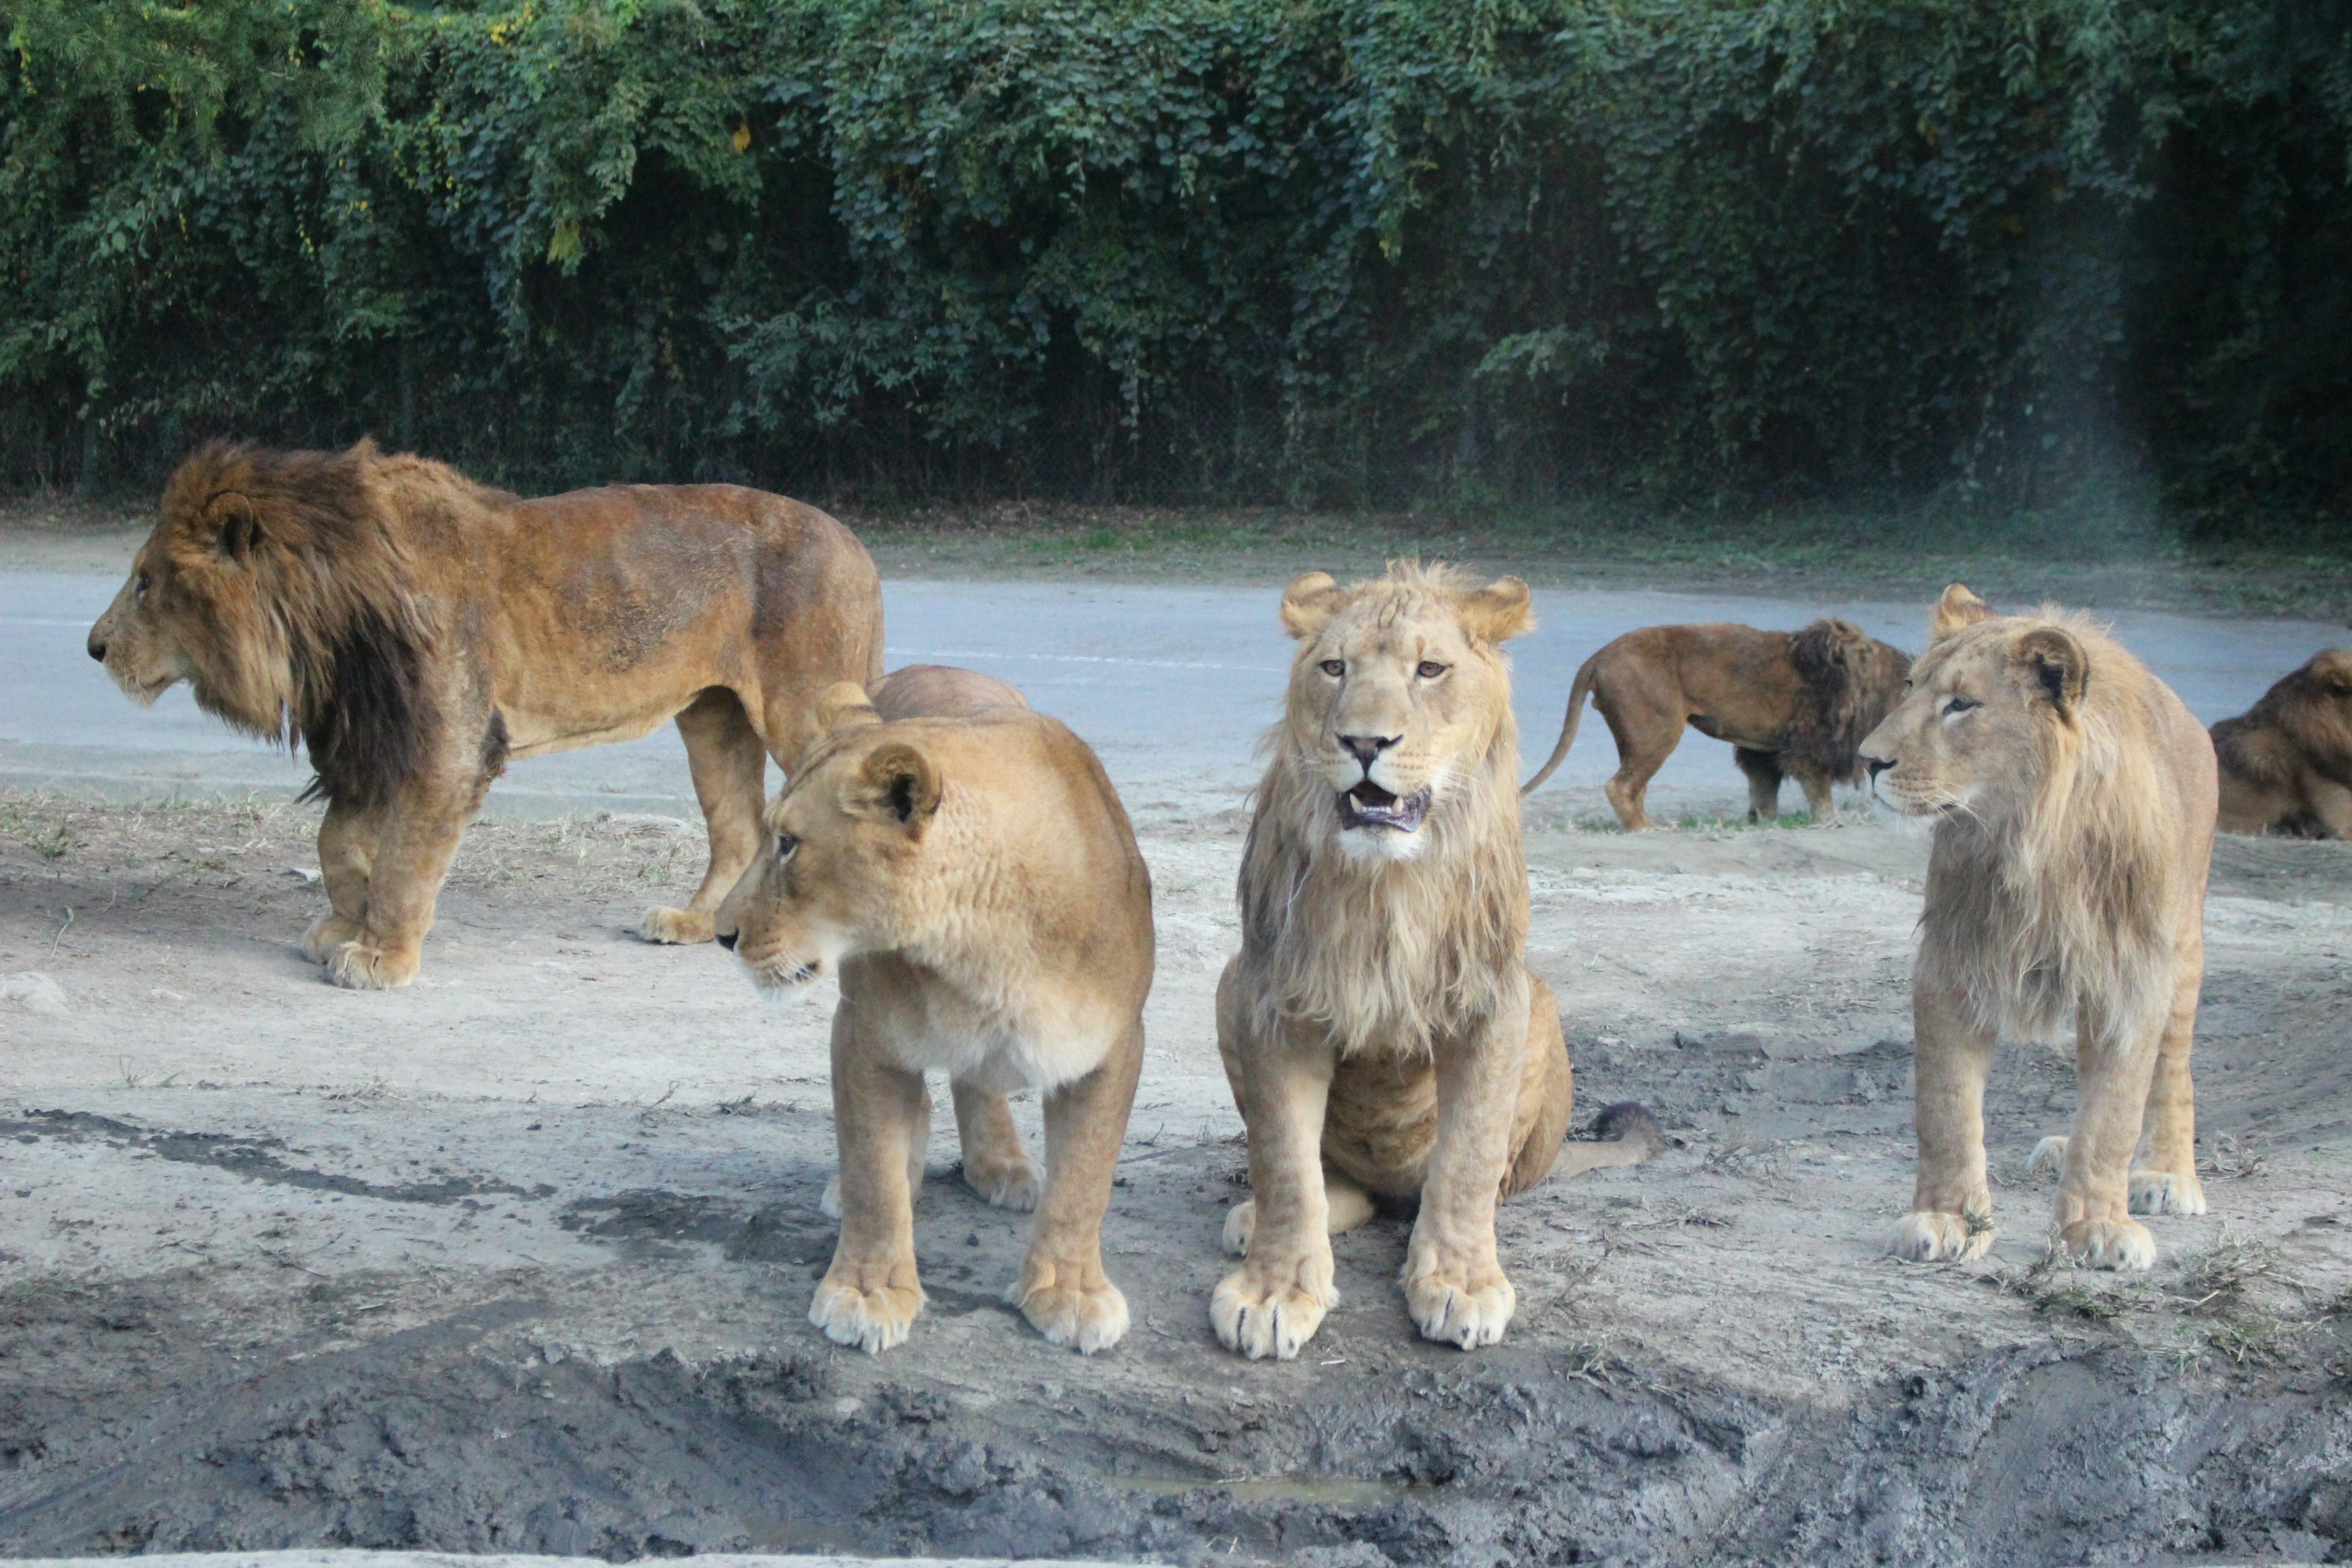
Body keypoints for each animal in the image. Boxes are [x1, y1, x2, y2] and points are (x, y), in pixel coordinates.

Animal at [85, 435, 884, 987]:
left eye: (147, 583)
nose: (93, 647)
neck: (326, 612)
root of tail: (857, 545)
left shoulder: (447, 746)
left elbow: (405, 862)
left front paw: (381, 957)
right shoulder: (374, 737)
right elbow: (336, 842)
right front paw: (341, 925)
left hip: (799, 707)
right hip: (713, 716)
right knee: (740, 828)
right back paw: (695, 923)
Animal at [715, 663, 1157, 1363]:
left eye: (788, 844)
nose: (721, 933)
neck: (982, 943)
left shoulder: (1110, 1049)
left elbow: (1085, 1182)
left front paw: (1071, 1292)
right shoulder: (865, 1036)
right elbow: (874, 1171)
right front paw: (867, 1290)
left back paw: (1001, 1164)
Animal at [1213, 564, 1656, 1363]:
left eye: (1430, 670)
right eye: (1335, 668)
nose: (1364, 740)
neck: (1388, 883)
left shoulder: (1495, 996)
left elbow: (1469, 1156)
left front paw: (1459, 1281)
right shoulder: (1272, 994)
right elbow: (1285, 1159)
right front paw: (1274, 1290)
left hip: (1541, 1003)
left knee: (1470, 1183)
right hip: (1227, 981)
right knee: (1335, 1182)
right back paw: (1258, 1218)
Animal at [1524, 616, 1910, 827]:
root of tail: (1600, 655)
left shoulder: (1766, 749)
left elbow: (1764, 791)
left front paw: (1764, 822)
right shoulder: (1810, 745)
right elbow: (1818, 790)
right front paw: (1830, 822)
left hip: (1635, 737)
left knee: (1636, 786)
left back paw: (1651, 824)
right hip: (1658, 730)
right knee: (1620, 786)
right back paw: (1646, 830)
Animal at [1863, 587, 2211, 1278]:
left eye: (1962, 704)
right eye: (1910, 687)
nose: (1866, 760)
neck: (2031, 840)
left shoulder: (2133, 976)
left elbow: (2115, 1112)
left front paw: (2096, 1225)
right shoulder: (1954, 959)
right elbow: (1945, 1106)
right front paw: (1946, 1218)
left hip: (2183, 949)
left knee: (2172, 1068)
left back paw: (2165, 1175)